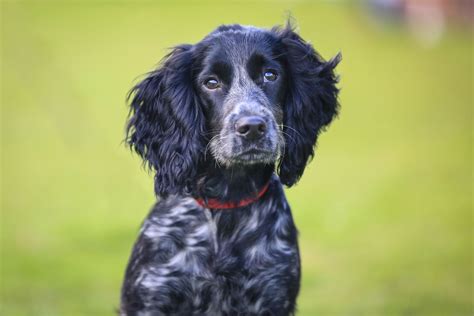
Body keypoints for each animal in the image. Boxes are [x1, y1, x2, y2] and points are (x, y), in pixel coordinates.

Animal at [120, 22, 338, 316]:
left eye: (270, 75)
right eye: (211, 83)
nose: (253, 127)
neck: (227, 202)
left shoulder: (273, 294)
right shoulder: (151, 294)